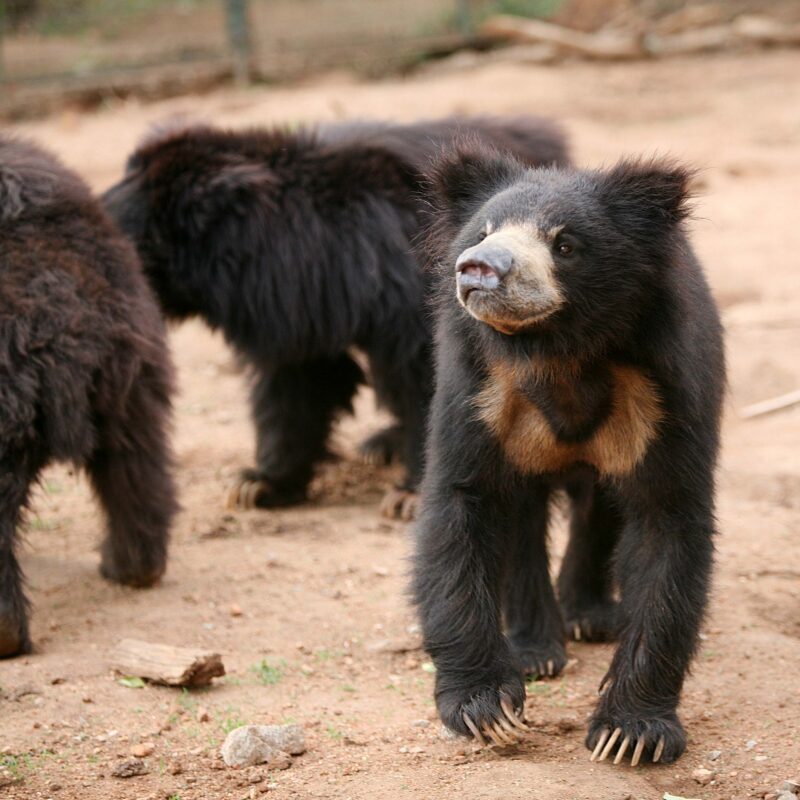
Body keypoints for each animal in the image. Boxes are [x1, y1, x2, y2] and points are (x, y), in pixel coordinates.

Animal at [102, 117, 569, 520]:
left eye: (135, 241)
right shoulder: (294, 310)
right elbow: (296, 383)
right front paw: (258, 484)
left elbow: (422, 376)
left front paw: (409, 495)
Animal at [412, 145, 724, 766]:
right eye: (482, 233)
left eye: (564, 244)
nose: (478, 268)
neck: (557, 350)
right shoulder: (479, 386)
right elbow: (461, 502)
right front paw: (488, 709)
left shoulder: (665, 390)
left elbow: (667, 523)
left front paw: (631, 733)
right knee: (523, 518)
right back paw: (537, 648)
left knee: (599, 508)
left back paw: (588, 616)